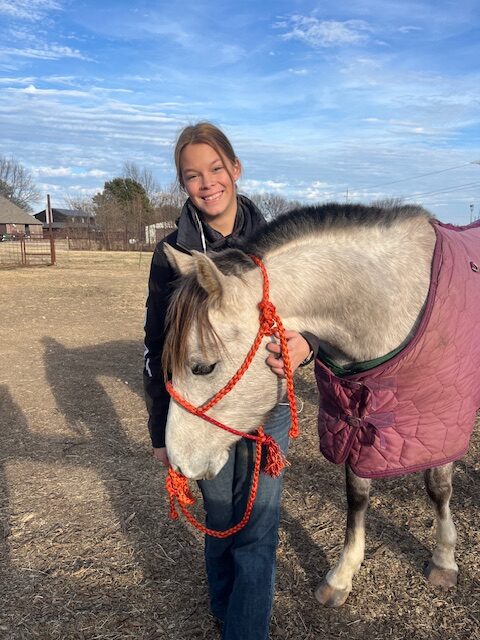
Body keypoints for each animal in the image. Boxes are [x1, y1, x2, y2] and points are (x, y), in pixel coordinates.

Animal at [161, 203, 480, 607]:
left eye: (202, 367)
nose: (178, 464)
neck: (392, 302)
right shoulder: (356, 418)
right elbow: (357, 495)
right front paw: (343, 575)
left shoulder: (441, 418)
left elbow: (438, 487)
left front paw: (443, 560)